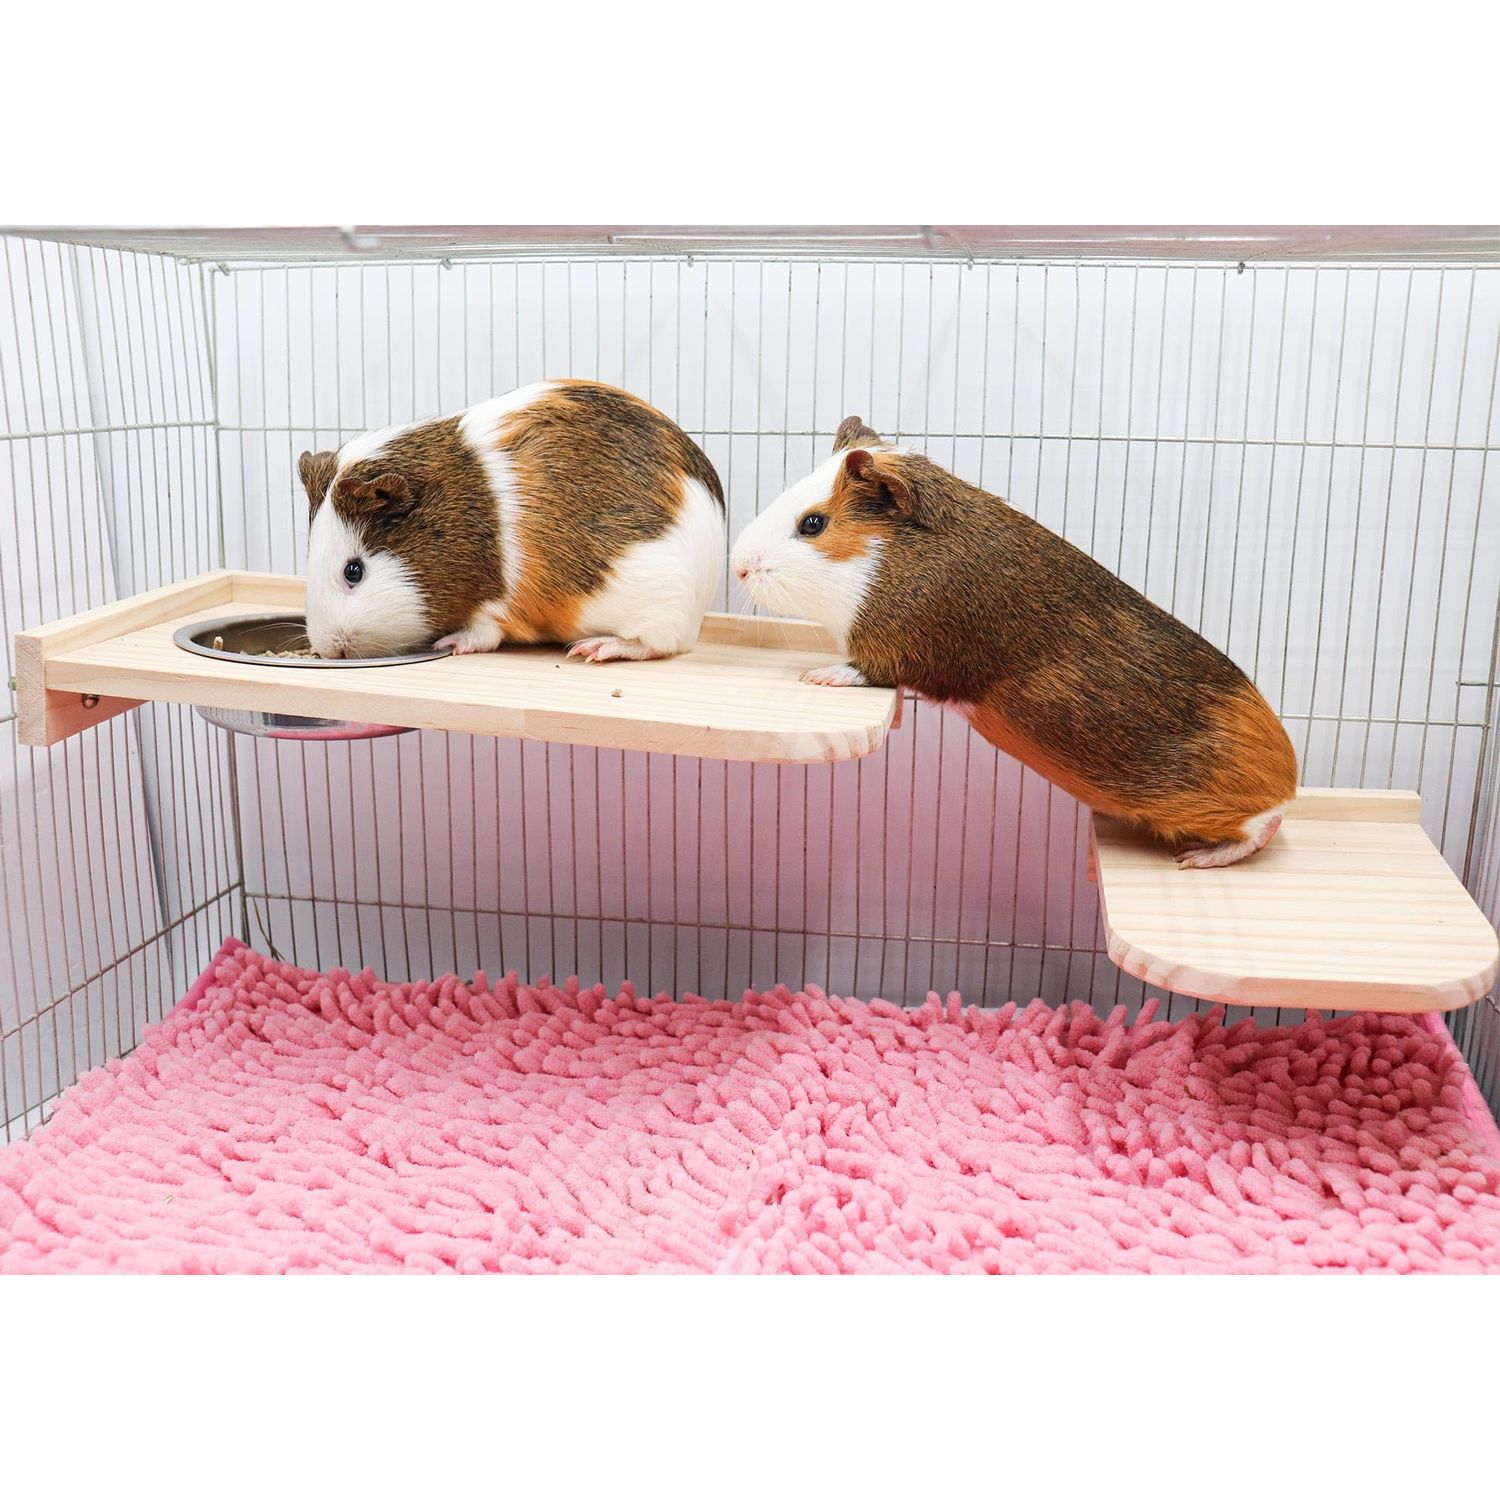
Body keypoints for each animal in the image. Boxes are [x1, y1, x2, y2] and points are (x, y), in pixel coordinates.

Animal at [296, 380, 725, 662]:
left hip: (663, 607)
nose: (330, 648)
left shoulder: (495, 607)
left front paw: (448, 644)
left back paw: (593, 649)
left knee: (659, 645)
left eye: (353, 572)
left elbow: (483, 633)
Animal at [731, 416, 1298, 869]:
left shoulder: (903, 652)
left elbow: (867, 669)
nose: (739, 566)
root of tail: (1289, 778)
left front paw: (817, 675)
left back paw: (1198, 859)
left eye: (813, 523)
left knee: (1261, 828)